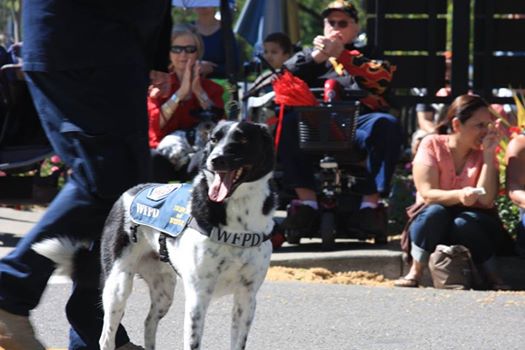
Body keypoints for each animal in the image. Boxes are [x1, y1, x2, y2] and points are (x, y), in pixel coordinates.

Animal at [97, 121, 278, 350]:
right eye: (213, 139)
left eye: (243, 139)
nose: (215, 159)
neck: (238, 216)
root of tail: (129, 191)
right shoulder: (197, 297)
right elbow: (193, 342)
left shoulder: (247, 298)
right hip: (118, 286)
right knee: (106, 337)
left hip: (164, 292)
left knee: (149, 322)